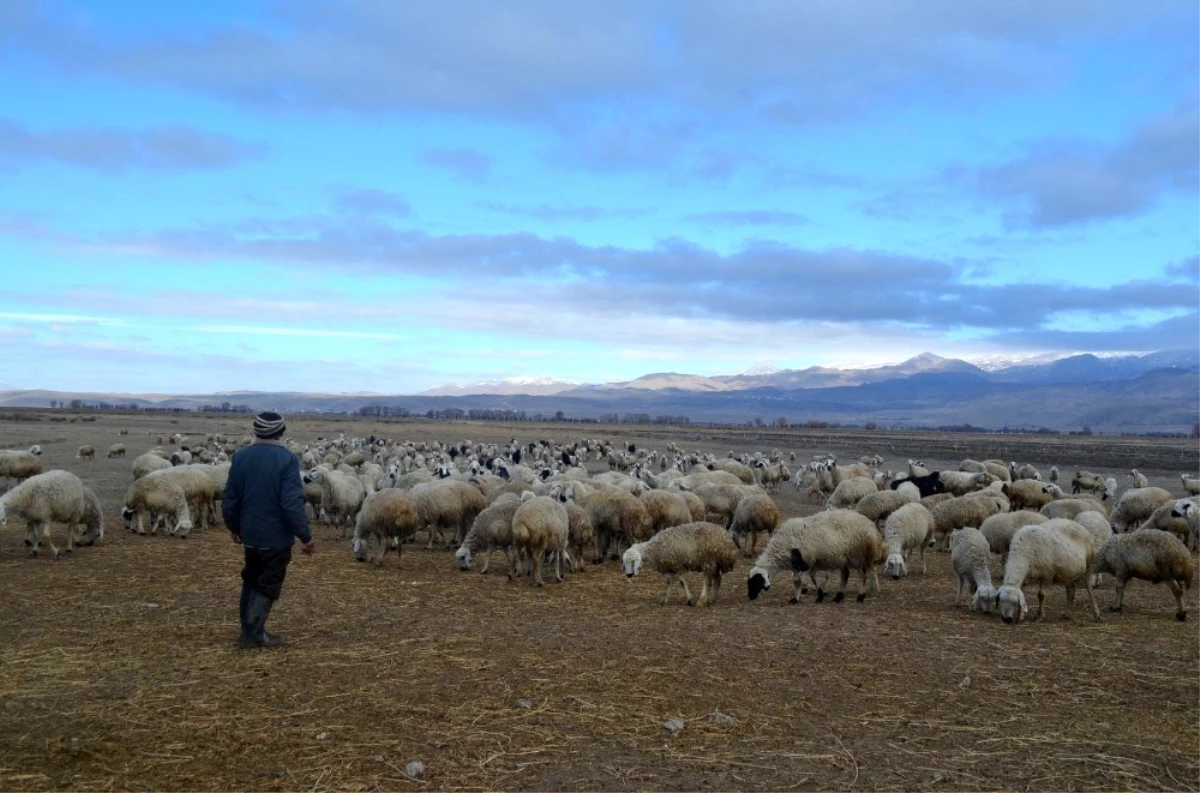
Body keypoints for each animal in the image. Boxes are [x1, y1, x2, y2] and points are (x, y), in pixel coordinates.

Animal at [744, 511, 888, 602]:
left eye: (756, 581)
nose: (750, 597)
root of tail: (872, 527)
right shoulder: (803, 564)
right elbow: (810, 578)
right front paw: (819, 595)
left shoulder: (805, 562)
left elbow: (799, 581)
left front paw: (795, 599)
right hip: (844, 558)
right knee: (845, 576)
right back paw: (839, 597)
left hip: (858, 555)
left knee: (862, 575)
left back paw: (861, 596)